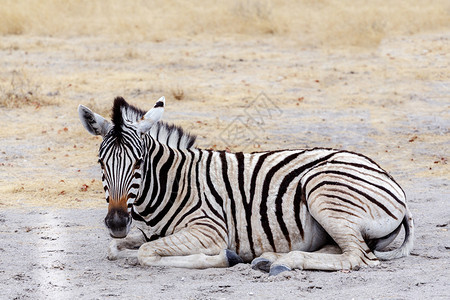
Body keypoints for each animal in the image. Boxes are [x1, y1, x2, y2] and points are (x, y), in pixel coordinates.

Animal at [78, 97, 414, 276]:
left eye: (139, 163)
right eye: (101, 163)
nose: (117, 222)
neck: (171, 182)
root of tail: (389, 179)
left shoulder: (209, 230)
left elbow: (146, 254)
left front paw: (225, 258)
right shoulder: (145, 232)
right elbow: (115, 248)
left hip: (323, 191)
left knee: (358, 257)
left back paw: (282, 262)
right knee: (341, 249)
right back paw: (270, 259)